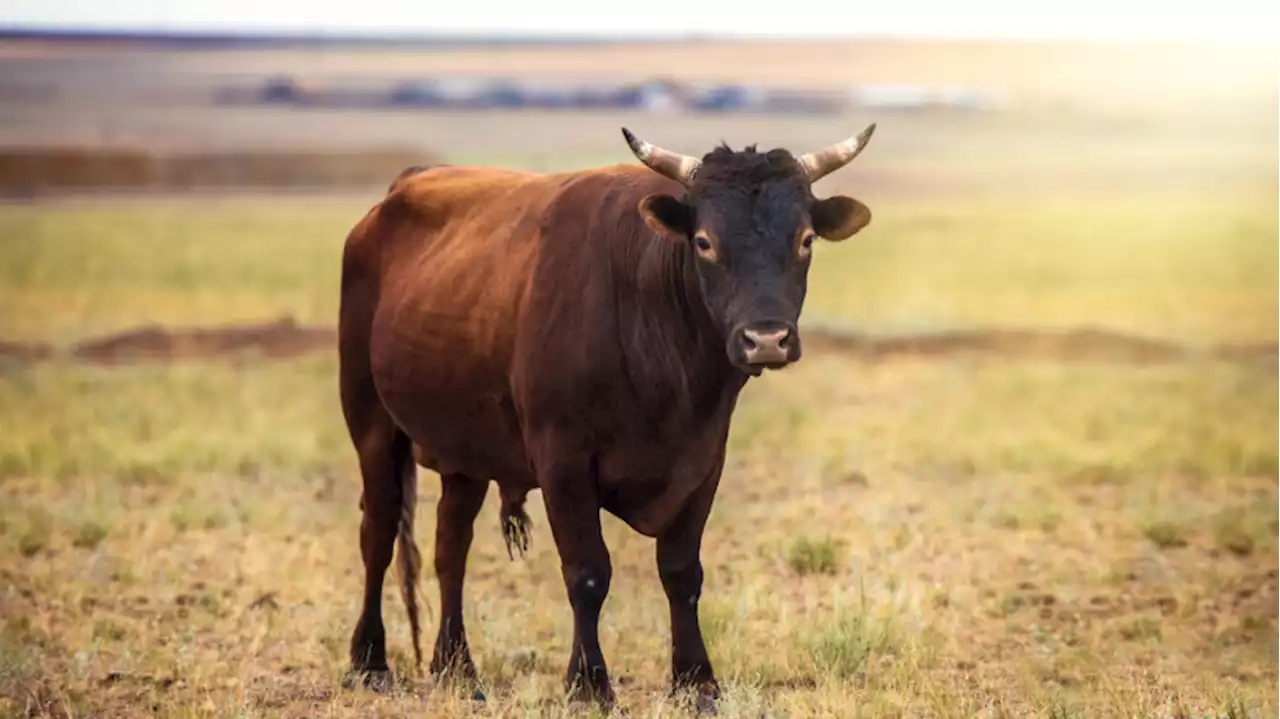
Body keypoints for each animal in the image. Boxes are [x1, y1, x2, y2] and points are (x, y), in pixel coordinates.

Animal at [337, 124, 880, 711]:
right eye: (704, 242)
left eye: (805, 240)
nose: (766, 340)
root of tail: (394, 197)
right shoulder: (564, 464)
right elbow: (588, 572)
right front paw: (588, 684)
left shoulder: (703, 462)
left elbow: (681, 571)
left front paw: (696, 680)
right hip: (372, 424)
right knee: (378, 532)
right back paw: (369, 660)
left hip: (466, 452)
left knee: (449, 546)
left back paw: (456, 666)